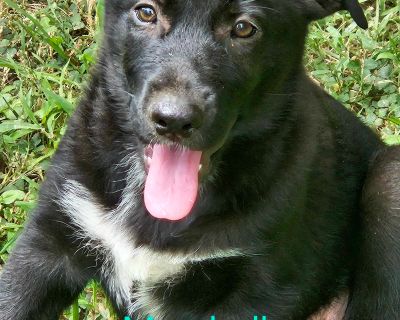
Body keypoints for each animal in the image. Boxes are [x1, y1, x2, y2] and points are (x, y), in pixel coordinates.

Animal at [0, 0, 400, 318]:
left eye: (244, 28)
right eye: (146, 12)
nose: (173, 121)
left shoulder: (256, 290)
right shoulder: (49, 239)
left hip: (389, 177)